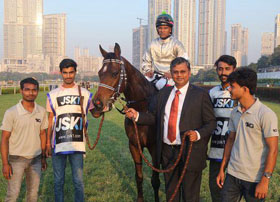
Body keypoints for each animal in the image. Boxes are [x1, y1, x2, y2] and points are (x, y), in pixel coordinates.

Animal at [92, 43, 161, 201]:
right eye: (99, 73)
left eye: (115, 73)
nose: (97, 105)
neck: (143, 109)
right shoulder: (134, 145)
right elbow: (139, 176)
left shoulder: (155, 147)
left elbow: (155, 180)